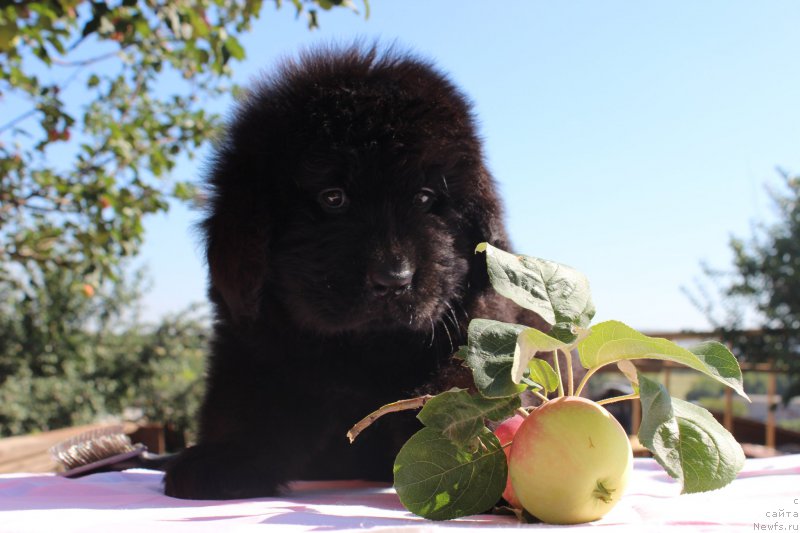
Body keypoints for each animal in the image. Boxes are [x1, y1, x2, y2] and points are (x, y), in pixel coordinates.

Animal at [162, 45, 544, 498]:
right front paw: (220, 459)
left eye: (424, 197)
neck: (362, 346)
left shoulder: (475, 320)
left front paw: (452, 424)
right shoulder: (251, 344)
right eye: (333, 198)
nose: (394, 278)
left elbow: (464, 379)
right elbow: (246, 404)